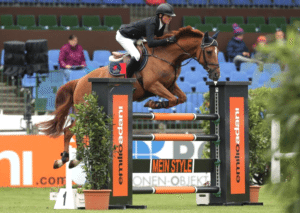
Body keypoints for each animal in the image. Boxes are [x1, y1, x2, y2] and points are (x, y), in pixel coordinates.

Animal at [37, 25, 220, 169]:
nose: (216, 74)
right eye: (209, 51)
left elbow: (181, 98)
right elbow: (173, 99)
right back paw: (66, 159)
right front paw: (153, 104)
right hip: (88, 110)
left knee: (76, 130)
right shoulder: (153, 85)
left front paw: (155, 104)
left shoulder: (170, 86)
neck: (167, 56)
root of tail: (79, 81)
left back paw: (74, 158)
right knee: (70, 130)